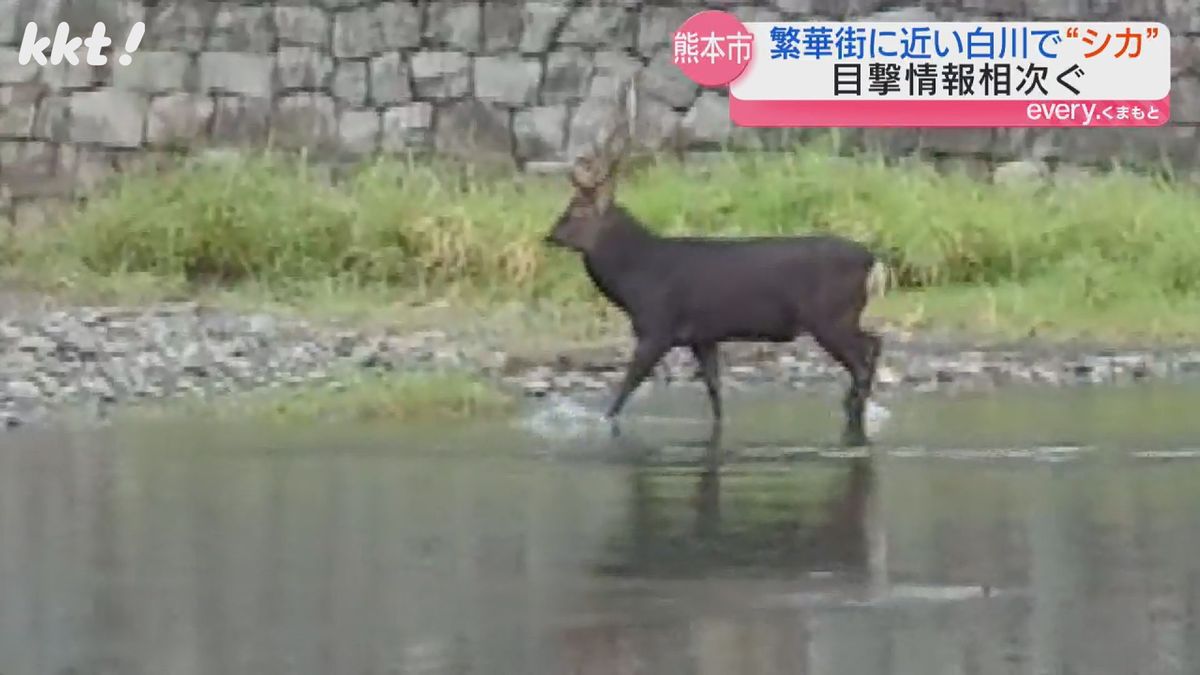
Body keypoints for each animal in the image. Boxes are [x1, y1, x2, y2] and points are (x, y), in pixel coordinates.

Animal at [544, 77, 892, 446]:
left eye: (577, 210)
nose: (550, 235)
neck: (636, 281)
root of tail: (872, 259)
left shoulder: (657, 327)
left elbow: (624, 392)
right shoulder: (703, 336)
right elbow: (715, 394)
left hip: (831, 316)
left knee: (864, 357)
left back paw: (852, 413)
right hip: (842, 316)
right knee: (874, 343)